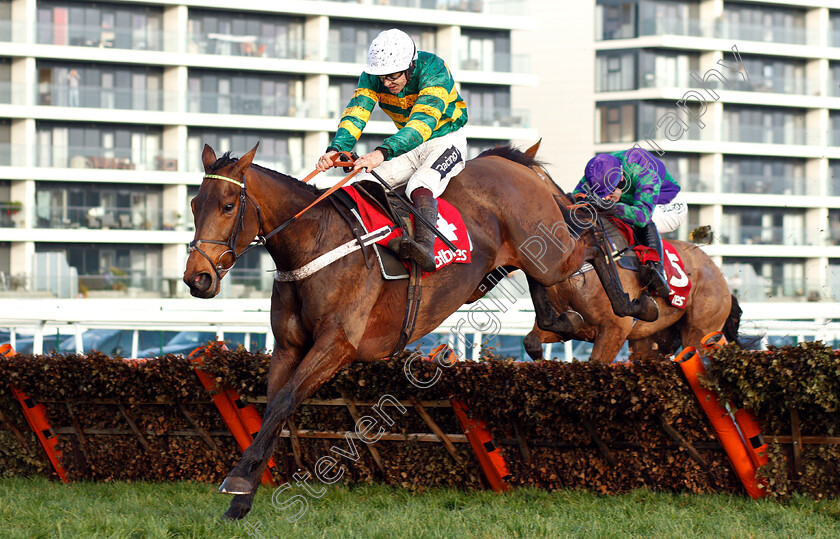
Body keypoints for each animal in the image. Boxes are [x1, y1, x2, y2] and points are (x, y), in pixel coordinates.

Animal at [186, 142, 588, 520]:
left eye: (227, 206)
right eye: (193, 204)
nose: (197, 278)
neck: (314, 242)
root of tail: (506, 161)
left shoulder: (336, 345)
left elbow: (285, 401)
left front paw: (237, 481)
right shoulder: (287, 346)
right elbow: (273, 409)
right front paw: (241, 498)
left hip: (553, 253)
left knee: (587, 244)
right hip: (525, 260)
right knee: (542, 281)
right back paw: (561, 321)